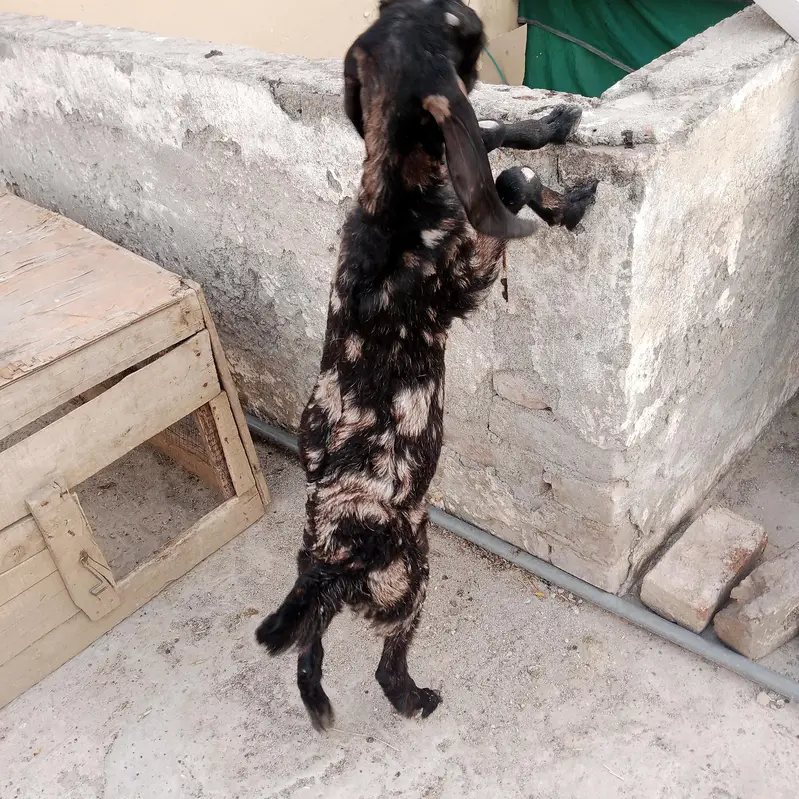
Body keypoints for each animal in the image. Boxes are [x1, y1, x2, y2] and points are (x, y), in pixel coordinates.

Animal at [256, 0, 597, 731]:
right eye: (463, 31)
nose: (480, 22)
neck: (393, 193)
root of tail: (327, 565)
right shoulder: (478, 260)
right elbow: (510, 177)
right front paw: (567, 201)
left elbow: (493, 137)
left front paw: (549, 122)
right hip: (410, 582)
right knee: (386, 665)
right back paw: (414, 699)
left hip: (341, 598)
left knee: (310, 646)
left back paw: (317, 694)